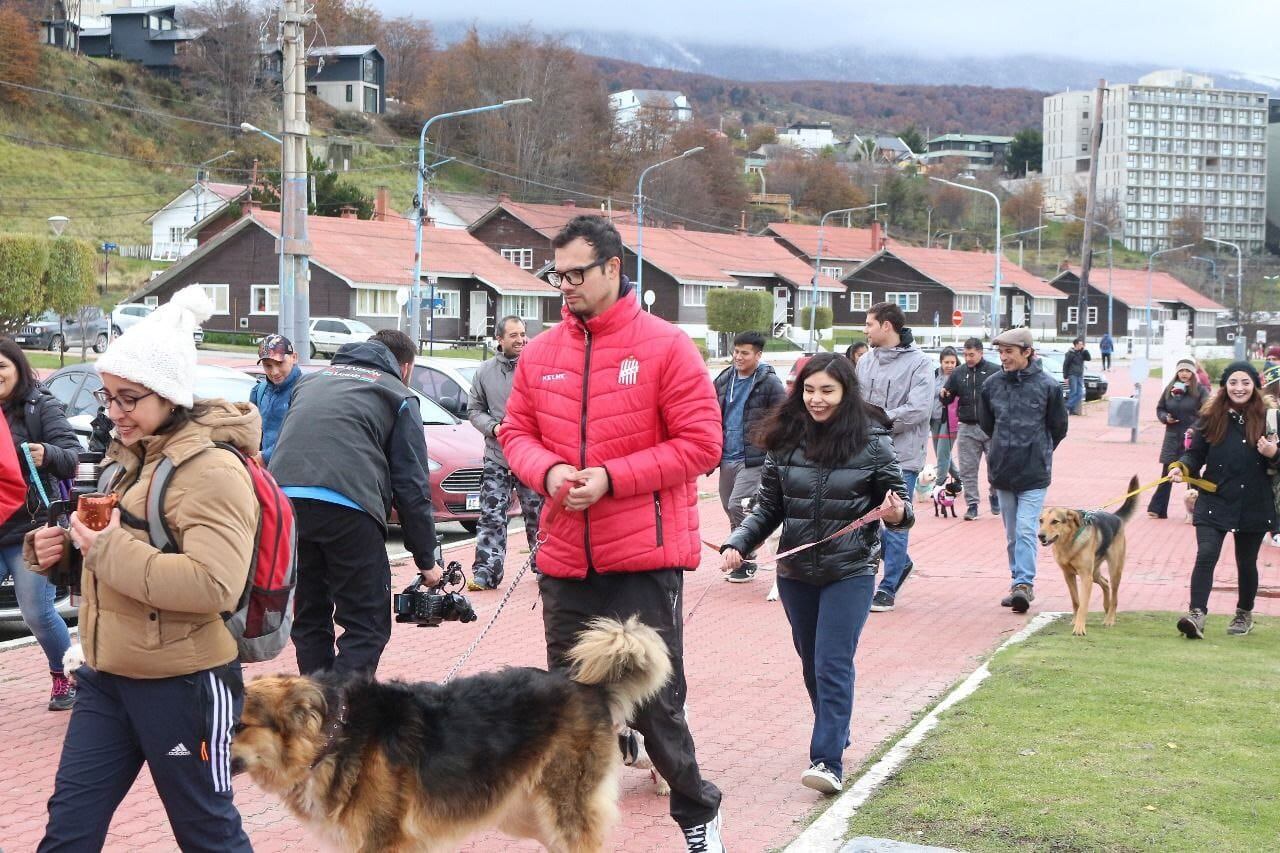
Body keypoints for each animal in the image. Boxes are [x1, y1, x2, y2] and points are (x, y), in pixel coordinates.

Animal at [230, 614, 670, 850]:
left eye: (238, 725)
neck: (335, 739)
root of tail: (589, 688)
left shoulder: (385, 843)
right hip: (523, 813)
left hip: (561, 810)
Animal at [1034, 473, 1136, 635]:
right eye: (1041, 521)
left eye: (1055, 521)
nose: (1040, 536)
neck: (1068, 543)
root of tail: (1116, 517)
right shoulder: (1068, 575)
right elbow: (1076, 601)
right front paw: (1075, 621)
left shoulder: (1085, 577)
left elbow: (1083, 604)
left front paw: (1079, 628)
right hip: (1094, 572)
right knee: (1105, 583)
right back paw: (1106, 607)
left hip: (1114, 570)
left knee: (1114, 596)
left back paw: (1110, 619)